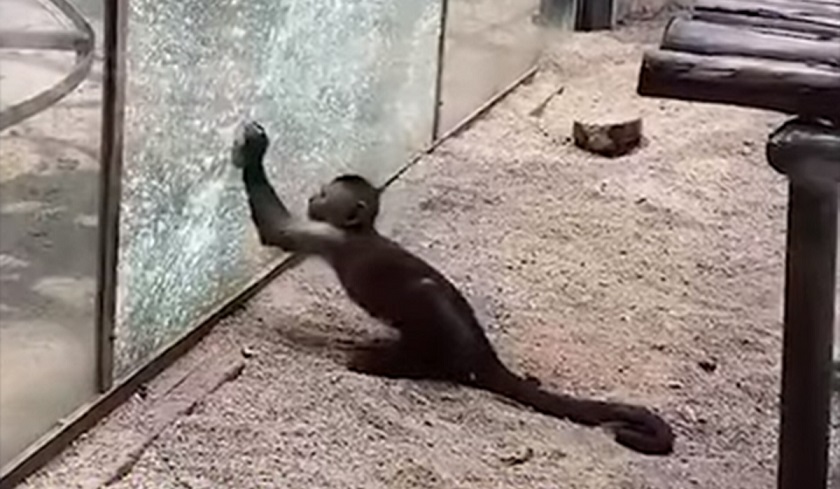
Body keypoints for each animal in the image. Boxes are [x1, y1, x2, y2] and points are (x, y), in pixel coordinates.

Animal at [231, 120, 675, 456]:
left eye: (324, 195)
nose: (312, 196)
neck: (359, 233)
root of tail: (484, 355)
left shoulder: (329, 236)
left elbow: (276, 230)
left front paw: (254, 150)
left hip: (434, 325)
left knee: (427, 310)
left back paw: (390, 362)